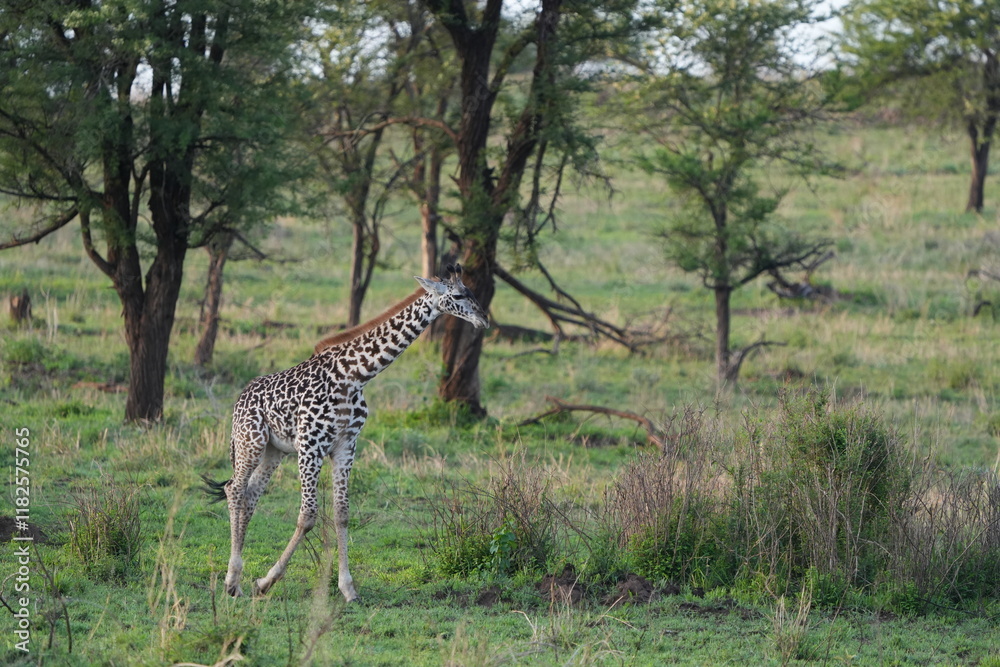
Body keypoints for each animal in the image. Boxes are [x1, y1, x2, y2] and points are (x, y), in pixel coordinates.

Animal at [203, 265, 488, 602]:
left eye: (471, 292)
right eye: (458, 295)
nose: (483, 319)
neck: (354, 376)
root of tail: (239, 399)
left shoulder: (345, 446)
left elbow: (341, 513)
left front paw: (348, 588)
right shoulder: (310, 446)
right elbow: (308, 515)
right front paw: (266, 581)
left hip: (274, 451)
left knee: (249, 495)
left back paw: (236, 579)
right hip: (251, 442)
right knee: (234, 489)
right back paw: (232, 580)